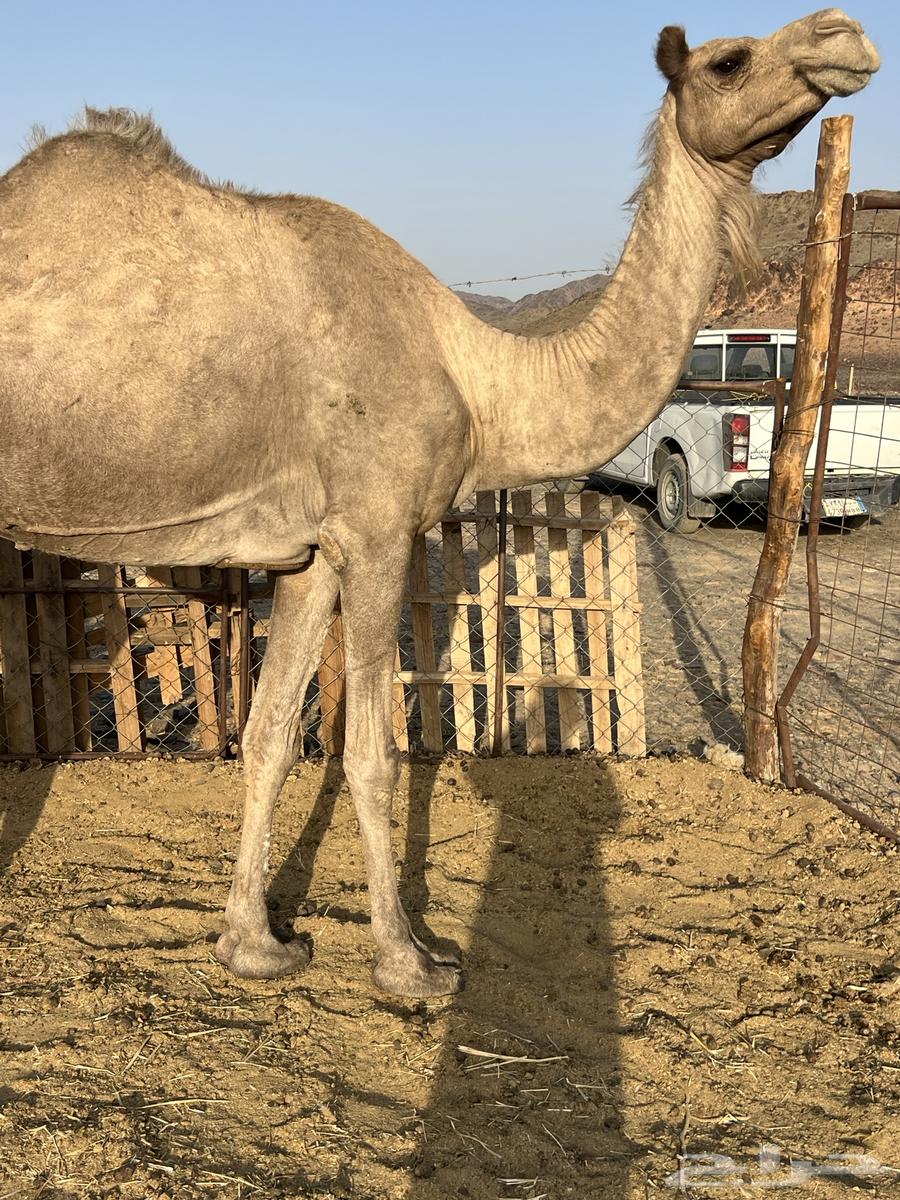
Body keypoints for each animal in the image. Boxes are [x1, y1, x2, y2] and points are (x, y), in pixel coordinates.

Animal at [0, 11, 878, 995]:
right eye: (730, 60)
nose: (844, 34)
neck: (479, 376)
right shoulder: (378, 531)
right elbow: (372, 753)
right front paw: (410, 964)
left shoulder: (311, 554)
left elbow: (271, 737)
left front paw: (256, 946)